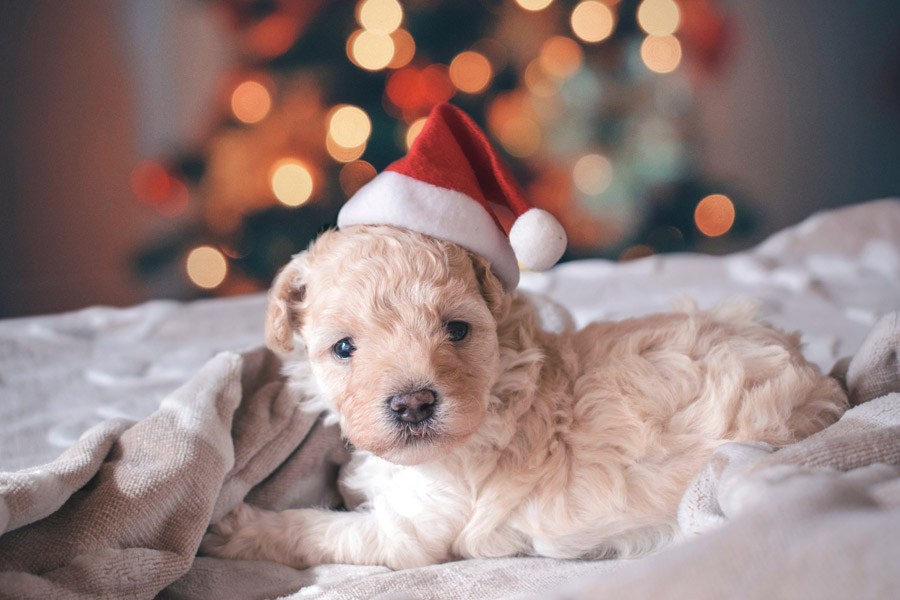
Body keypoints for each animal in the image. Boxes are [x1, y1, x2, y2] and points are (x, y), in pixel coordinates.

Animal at [200, 224, 848, 568]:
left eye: (457, 330)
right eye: (342, 348)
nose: (413, 405)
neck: (496, 387)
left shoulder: (407, 534)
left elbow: (316, 529)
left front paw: (235, 527)